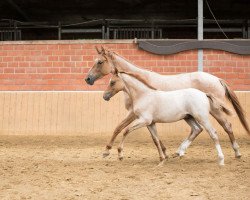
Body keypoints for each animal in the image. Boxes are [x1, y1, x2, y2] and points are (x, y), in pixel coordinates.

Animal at [103, 72, 234, 166]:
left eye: (112, 82)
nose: (105, 96)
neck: (144, 95)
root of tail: (204, 94)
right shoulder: (150, 123)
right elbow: (155, 140)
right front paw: (162, 160)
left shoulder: (144, 120)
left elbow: (126, 130)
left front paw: (119, 154)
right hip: (189, 117)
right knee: (197, 129)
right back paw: (180, 152)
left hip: (202, 117)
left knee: (213, 133)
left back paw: (221, 160)